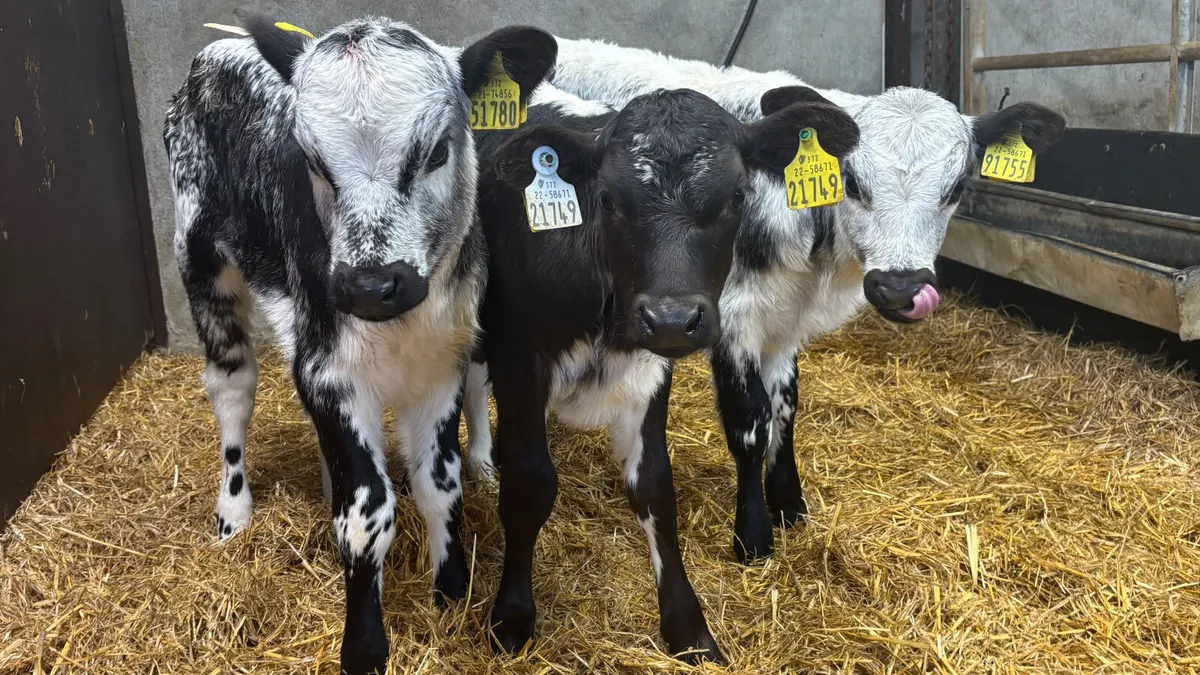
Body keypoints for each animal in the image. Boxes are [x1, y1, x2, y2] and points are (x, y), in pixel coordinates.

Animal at [163, 12, 555, 673]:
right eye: (312, 161)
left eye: (438, 151)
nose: (371, 284)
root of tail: (215, 50)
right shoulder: (329, 371)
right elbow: (368, 512)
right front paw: (365, 644)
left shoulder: (441, 367)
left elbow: (439, 483)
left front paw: (450, 589)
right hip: (200, 257)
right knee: (232, 385)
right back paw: (234, 512)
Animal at [469, 83, 860, 662]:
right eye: (608, 200)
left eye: (737, 197)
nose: (673, 317)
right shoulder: (519, 359)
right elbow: (530, 482)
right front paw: (512, 619)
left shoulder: (652, 367)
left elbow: (655, 486)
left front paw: (688, 628)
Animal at [534, 38, 1066, 563]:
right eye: (852, 183)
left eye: (955, 188)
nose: (900, 288)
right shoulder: (734, 317)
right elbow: (751, 422)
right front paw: (752, 534)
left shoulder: (786, 322)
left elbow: (786, 409)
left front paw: (790, 505)